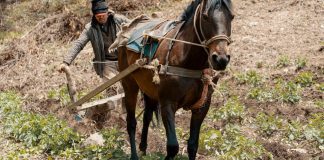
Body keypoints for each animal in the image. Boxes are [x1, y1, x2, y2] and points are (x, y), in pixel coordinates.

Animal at [117, 0, 234, 159]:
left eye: (232, 17)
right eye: (205, 17)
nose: (221, 59)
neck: (189, 61)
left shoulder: (202, 106)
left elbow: (193, 145)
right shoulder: (167, 104)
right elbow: (173, 146)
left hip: (149, 89)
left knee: (147, 115)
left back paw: (143, 148)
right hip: (129, 84)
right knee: (131, 123)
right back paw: (134, 154)